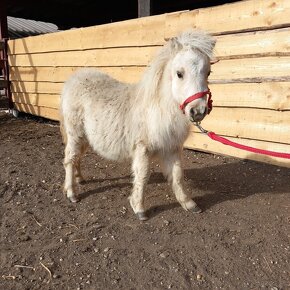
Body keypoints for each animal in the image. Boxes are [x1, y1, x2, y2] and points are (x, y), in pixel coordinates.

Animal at [60, 30, 215, 220]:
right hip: (75, 133)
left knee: (77, 157)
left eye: (208, 73)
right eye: (179, 73)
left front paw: (188, 203)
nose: (198, 111)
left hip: (85, 137)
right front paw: (139, 208)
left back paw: (80, 178)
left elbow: (177, 175)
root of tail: (73, 80)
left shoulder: (172, 148)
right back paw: (71, 193)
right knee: (70, 158)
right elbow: (142, 175)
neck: (158, 109)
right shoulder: (142, 148)